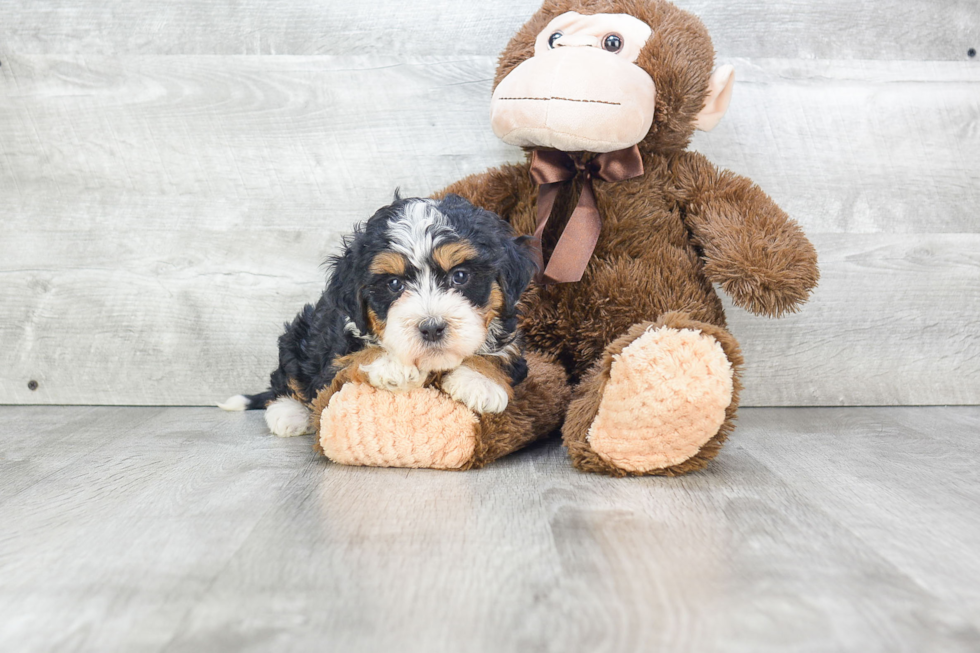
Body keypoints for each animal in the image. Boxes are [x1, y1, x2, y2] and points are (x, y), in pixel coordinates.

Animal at [218, 194, 536, 438]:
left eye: (460, 276)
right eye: (394, 284)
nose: (432, 328)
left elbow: (500, 355)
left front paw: (480, 381)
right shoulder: (336, 350)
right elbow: (356, 355)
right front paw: (392, 365)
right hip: (299, 334)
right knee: (285, 378)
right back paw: (288, 413)